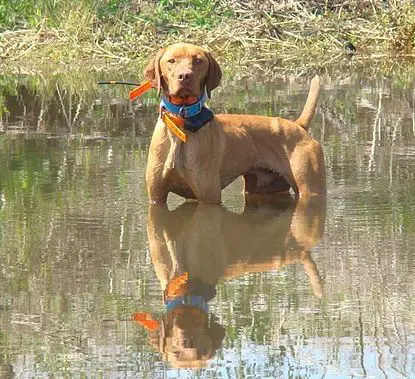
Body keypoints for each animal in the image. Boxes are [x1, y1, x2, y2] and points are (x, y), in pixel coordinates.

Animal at [145, 42, 326, 205]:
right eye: (171, 61)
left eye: (198, 61)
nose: (185, 76)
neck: (181, 119)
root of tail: (298, 125)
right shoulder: (156, 197)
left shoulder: (209, 198)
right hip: (263, 186)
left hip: (311, 189)